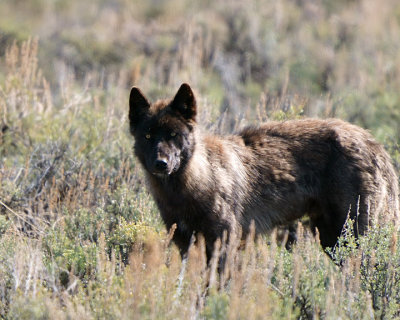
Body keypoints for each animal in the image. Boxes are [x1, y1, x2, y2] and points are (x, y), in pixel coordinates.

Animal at [129, 83, 400, 260]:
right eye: (148, 136)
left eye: (174, 135)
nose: (161, 163)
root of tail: (374, 143)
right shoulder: (185, 244)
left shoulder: (224, 243)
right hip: (331, 239)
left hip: (348, 236)